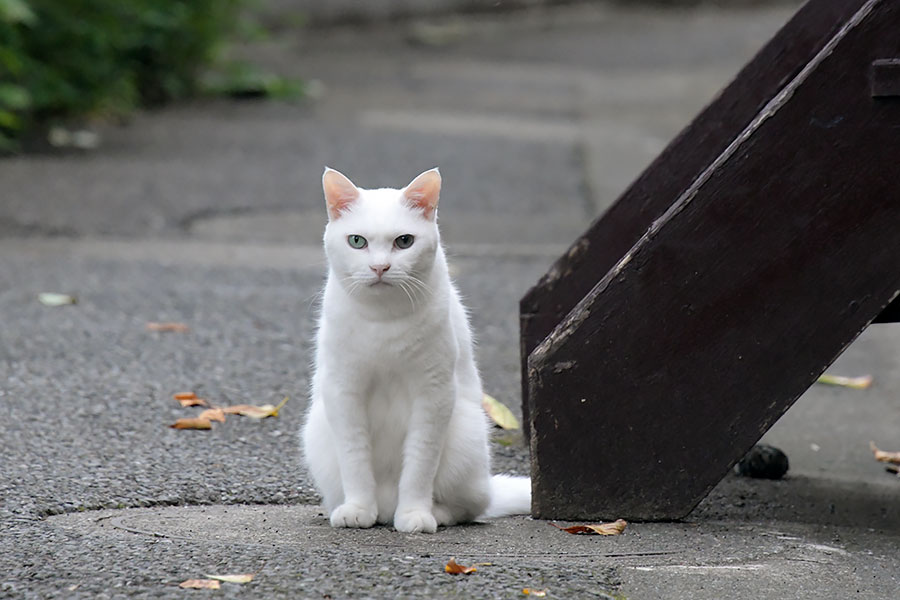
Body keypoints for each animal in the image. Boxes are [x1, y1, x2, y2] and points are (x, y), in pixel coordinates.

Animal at [302, 166, 532, 532]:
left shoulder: (433, 393)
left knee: (470, 507)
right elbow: (355, 458)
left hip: (466, 433)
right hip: (318, 430)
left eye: (404, 241)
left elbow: (420, 464)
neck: (384, 320)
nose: (380, 267)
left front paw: (415, 514)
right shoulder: (343, 390)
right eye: (357, 241)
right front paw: (357, 508)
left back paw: (432, 513)